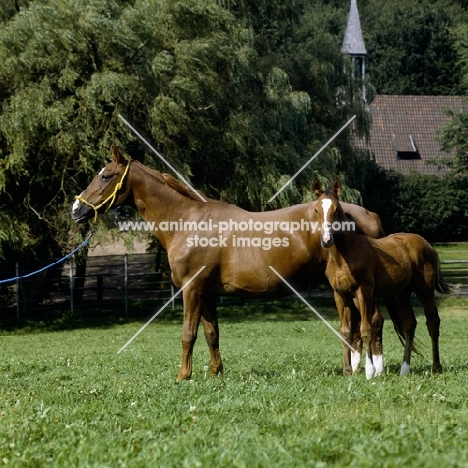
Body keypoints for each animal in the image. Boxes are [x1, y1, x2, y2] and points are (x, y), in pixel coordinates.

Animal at [312, 177, 456, 378]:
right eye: (317, 209)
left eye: (336, 209)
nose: (326, 240)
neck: (344, 256)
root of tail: (428, 246)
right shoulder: (340, 295)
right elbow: (345, 331)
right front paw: (348, 371)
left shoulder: (364, 292)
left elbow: (366, 329)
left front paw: (370, 371)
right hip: (402, 294)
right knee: (409, 324)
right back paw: (405, 369)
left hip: (424, 290)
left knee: (432, 322)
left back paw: (436, 367)